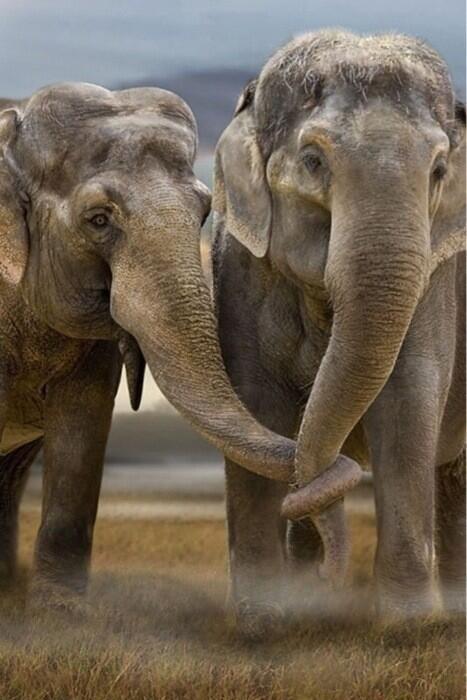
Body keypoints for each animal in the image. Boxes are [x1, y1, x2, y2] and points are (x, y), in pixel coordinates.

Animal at [212, 30, 466, 632]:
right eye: (312, 160)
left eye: (438, 172)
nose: (331, 572)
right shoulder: (241, 268)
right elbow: (256, 402)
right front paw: (262, 624)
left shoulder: (435, 277)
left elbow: (408, 400)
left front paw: (408, 631)